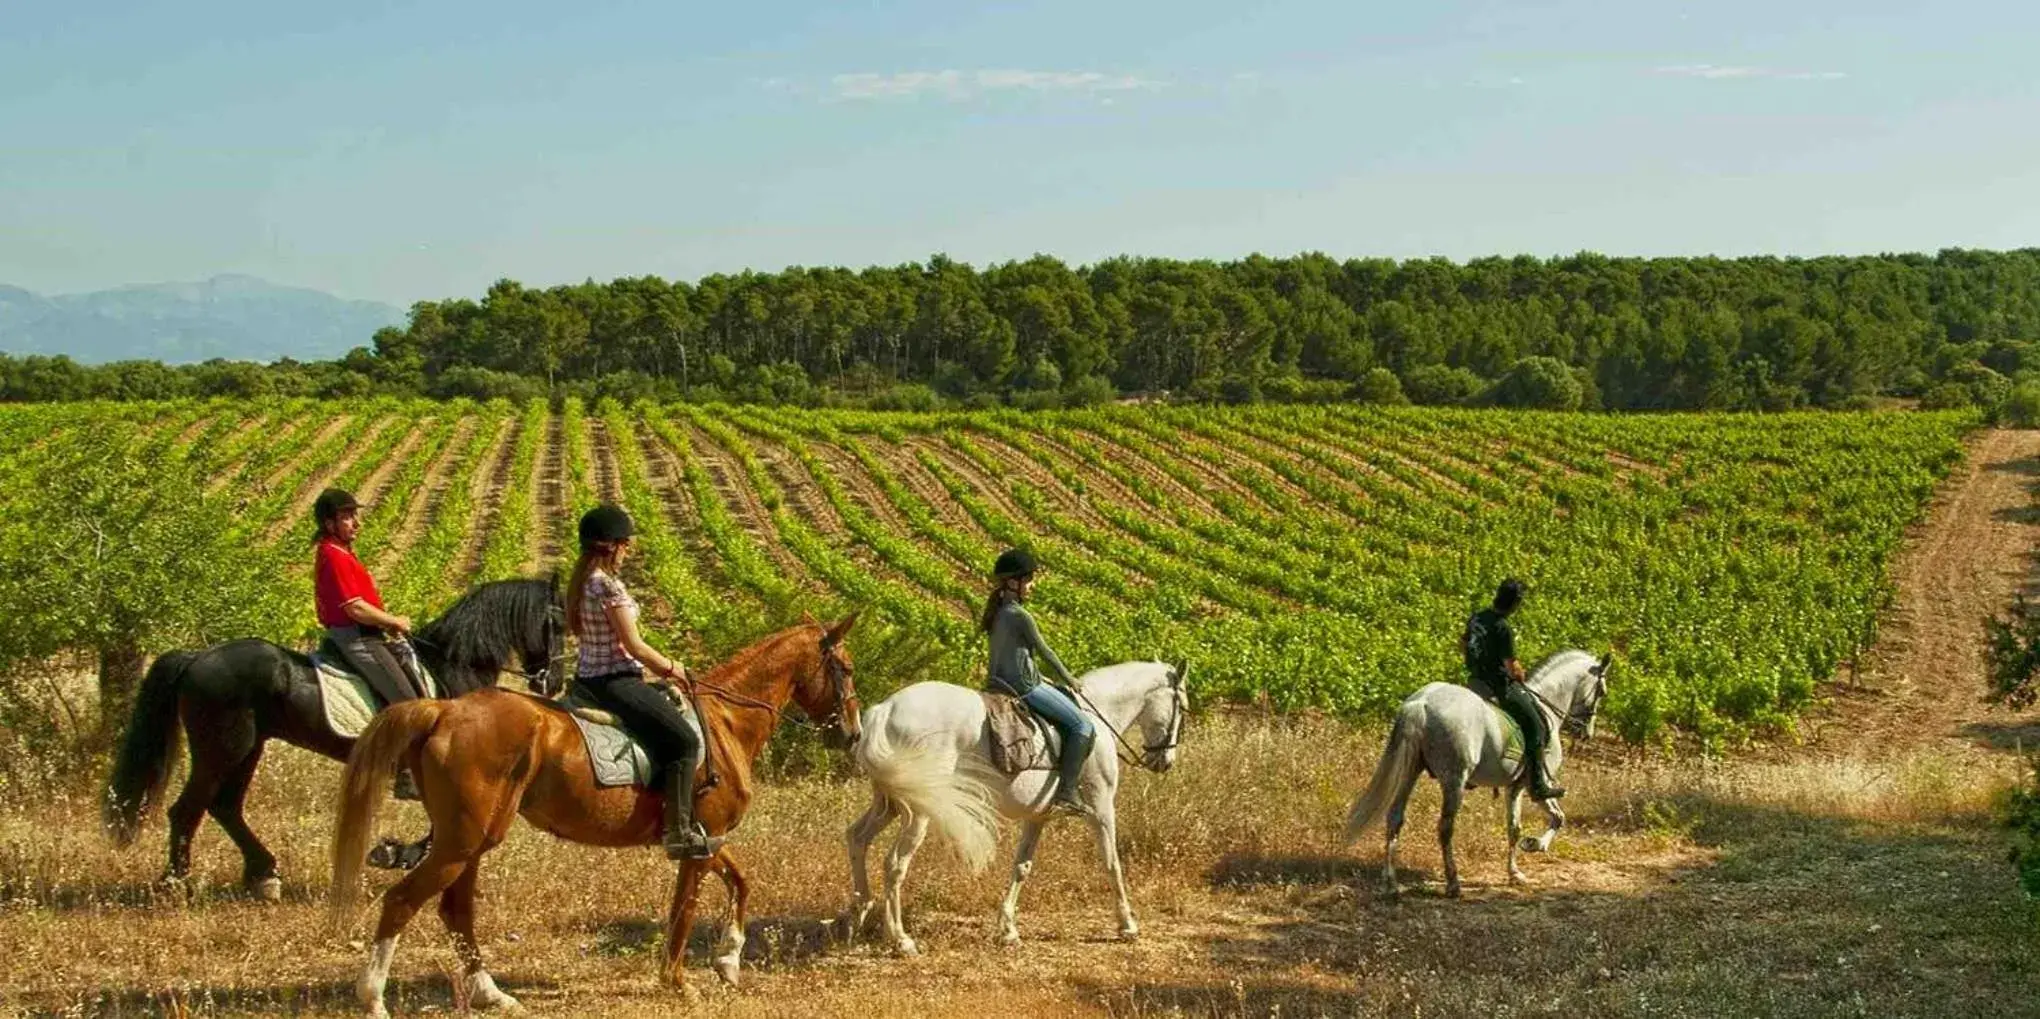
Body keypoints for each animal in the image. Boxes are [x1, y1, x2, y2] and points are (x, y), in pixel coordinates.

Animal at [104, 578, 563, 896]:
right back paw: (176, 881)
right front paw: (397, 854)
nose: (553, 682)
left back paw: (262, 875)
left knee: (224, 806)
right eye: (557, 623)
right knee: (187, 809)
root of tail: (199, 656)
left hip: (247, 748)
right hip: (222, 748)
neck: (453, 666)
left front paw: (398, 854)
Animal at [324, 611, 860, 1010]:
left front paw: (728, 960)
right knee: (402, 902)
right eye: (847, 669)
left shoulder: (709, 837)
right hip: (462, 843)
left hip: (469, 842)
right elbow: (684, 910)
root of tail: (444, 710)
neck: (727, 721)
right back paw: (373, 997)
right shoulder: (700, 839)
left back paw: (491, 994)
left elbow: (740, 881)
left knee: (456, 910)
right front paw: (679, 981)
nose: (853, 734)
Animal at [844, 660, 1191, 953]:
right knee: (894, 863)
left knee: (857, 838)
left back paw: (856, 915)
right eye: (1182, 709)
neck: (1098, 715)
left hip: (889, 803)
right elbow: (1112, 862)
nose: (1165, 761)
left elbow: (1022, 867)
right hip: (918, 812)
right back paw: (900, 939)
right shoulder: (1102, 808)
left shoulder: (1037, 816)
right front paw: (1127, 925)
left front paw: (1008, 929)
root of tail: (885, 709)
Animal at [1338, 648, 1607, 896]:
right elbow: (1548, 819)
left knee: (1395, 818)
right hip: (1454, 780)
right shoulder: (1530, 786)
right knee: (1445, 829)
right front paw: (1532, 847)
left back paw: (1391, 883)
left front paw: (1516, 870)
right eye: (1602, 692)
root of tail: (1421, 703)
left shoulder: (1515, 786)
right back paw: (1453, 883)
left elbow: (1519, 826)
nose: (1587, 733)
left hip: (1410, 772)